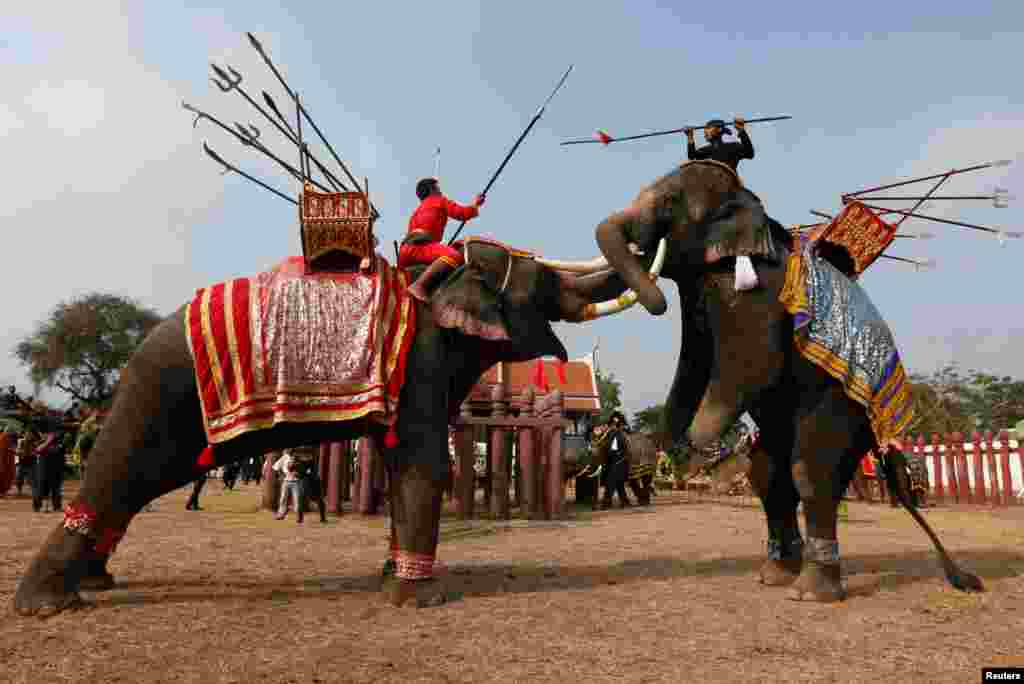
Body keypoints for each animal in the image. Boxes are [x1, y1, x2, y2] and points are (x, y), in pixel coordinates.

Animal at [589, 158, 978, 597]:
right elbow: (694, 361)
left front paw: (705, 446)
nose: (657, 303)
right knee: (769, 476)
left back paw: (811, 592)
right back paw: (775, 574)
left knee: (811, 472)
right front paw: (678, 442)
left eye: (670, 202)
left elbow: (752, 363)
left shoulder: (758, 293)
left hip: (844, 409)